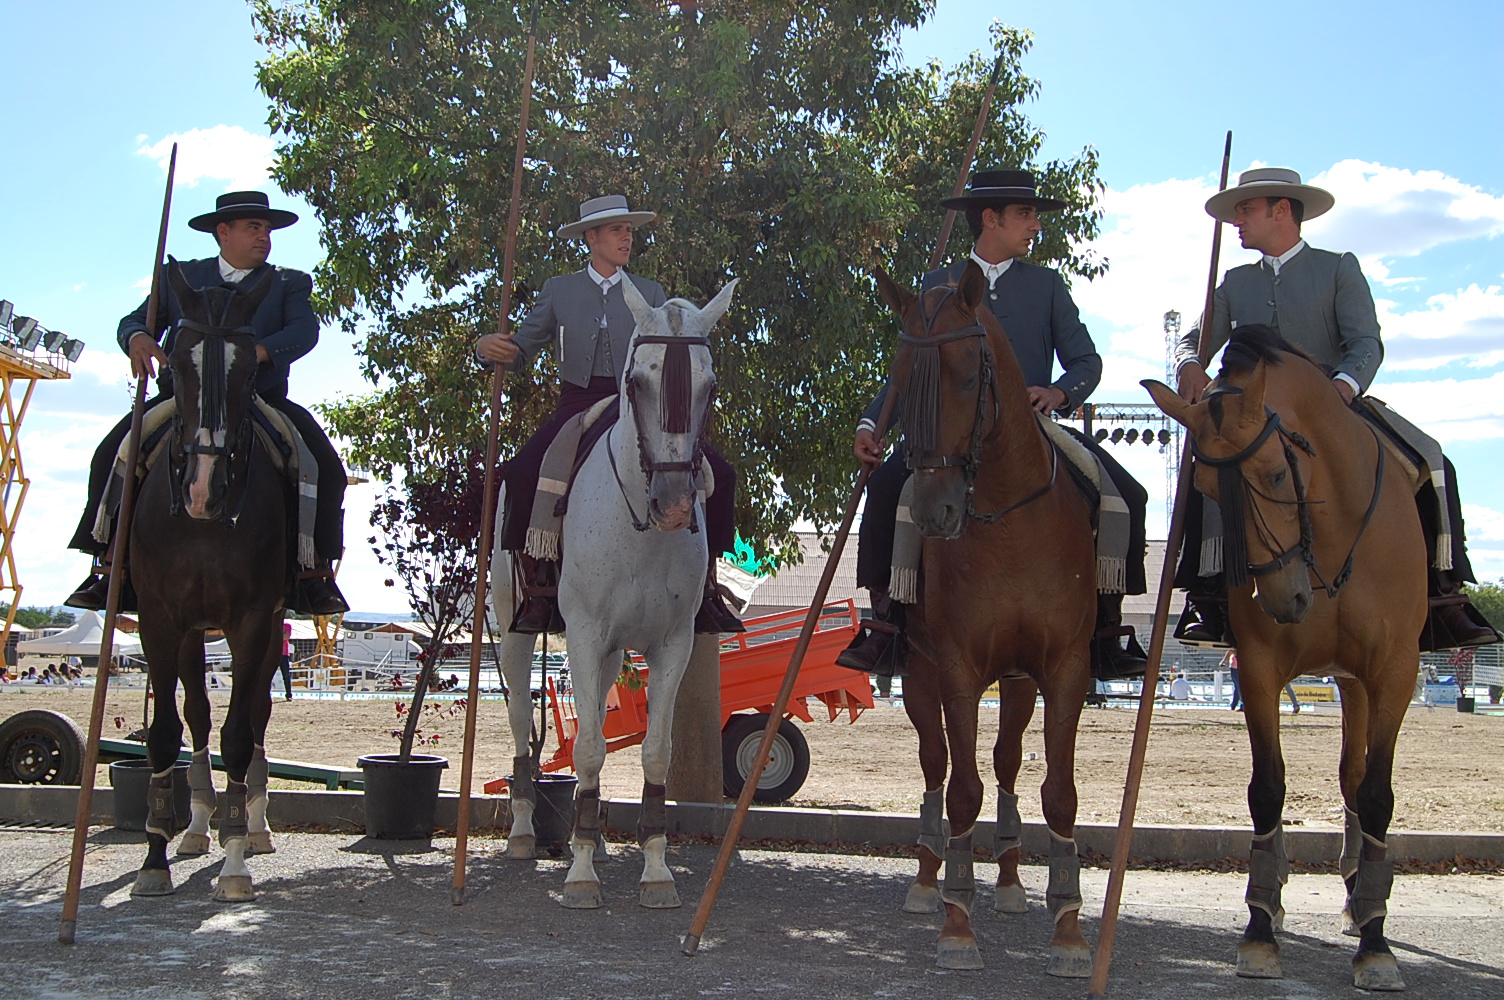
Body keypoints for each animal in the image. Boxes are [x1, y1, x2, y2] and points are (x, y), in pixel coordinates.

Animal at [127, 261, 288, 902]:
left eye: (248, 368)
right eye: (173, 360)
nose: (203, 490)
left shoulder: (253, 620)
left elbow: (241, 734)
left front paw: (238, 863)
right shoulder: (157, 618)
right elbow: (165, 732)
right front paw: (153, 861)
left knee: (256, 716)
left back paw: (254, 826)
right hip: (192, 631)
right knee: (196, 715)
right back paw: (195, 829)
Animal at [872, 264, 1094, 974]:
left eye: (970, 375)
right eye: (901, 373)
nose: (935, 512)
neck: (1009, 522)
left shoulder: (1066, 668)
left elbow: (1058, 792)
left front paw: (1069, 927)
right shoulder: (957, 668)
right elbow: (960, 788)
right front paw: (956, 922)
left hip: (1019, 683)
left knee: (1005, 763)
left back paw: (1011, 883)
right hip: (918, 674)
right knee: (937, 767)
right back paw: (930, 880)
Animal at [1143, 323, 1425, 986]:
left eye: (1275, 474)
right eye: (1204, 490)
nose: (1282, 600)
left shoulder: (1395, 672)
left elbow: (1379, 794)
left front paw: (1376, 944)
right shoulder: (1260, 668)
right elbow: (1268, 789)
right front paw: (1259, 929)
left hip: (1362, 680)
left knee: (1359, 782)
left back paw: (1362, 903)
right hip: (1348, 679)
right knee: (1349, 775)